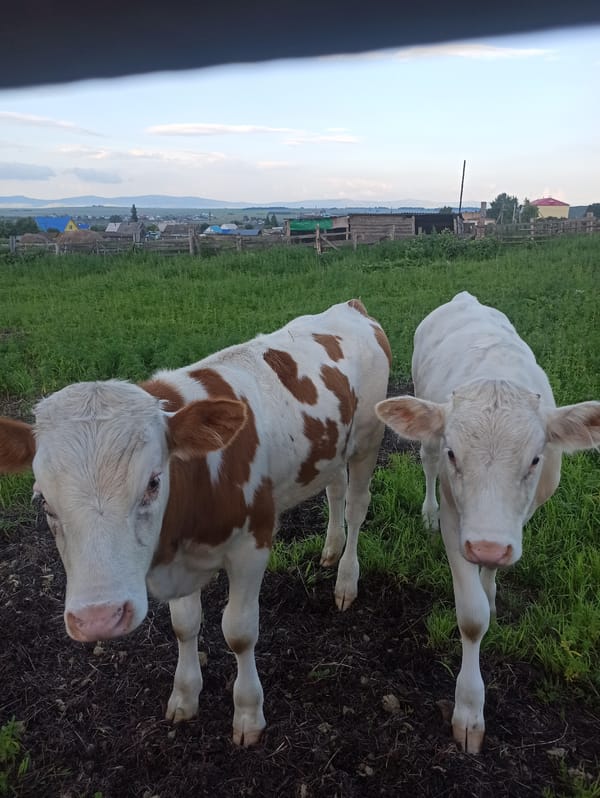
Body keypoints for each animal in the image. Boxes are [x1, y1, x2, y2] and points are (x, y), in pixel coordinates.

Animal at [0, 299, 391, 746]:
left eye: (153, 482)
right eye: (43, 500)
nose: (99, 618)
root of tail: (350, 306)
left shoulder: (252, 545)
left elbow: (239, 631)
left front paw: (248, 713)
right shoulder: (177, 555)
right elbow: (184, 626)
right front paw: (185, 695)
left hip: (368, 440)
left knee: (357, 506)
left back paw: (346, 579)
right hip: (332, 449)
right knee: (335, 489)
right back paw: (330, 548)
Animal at [375, 291, 600, 754]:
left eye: (534, 459)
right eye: (454, 453)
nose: (486, 547)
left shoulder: (519, 520)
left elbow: (492, 579)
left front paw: (492, 590)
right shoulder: (456, 519)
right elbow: (472, 616)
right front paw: (469, 709)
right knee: (424, 463)